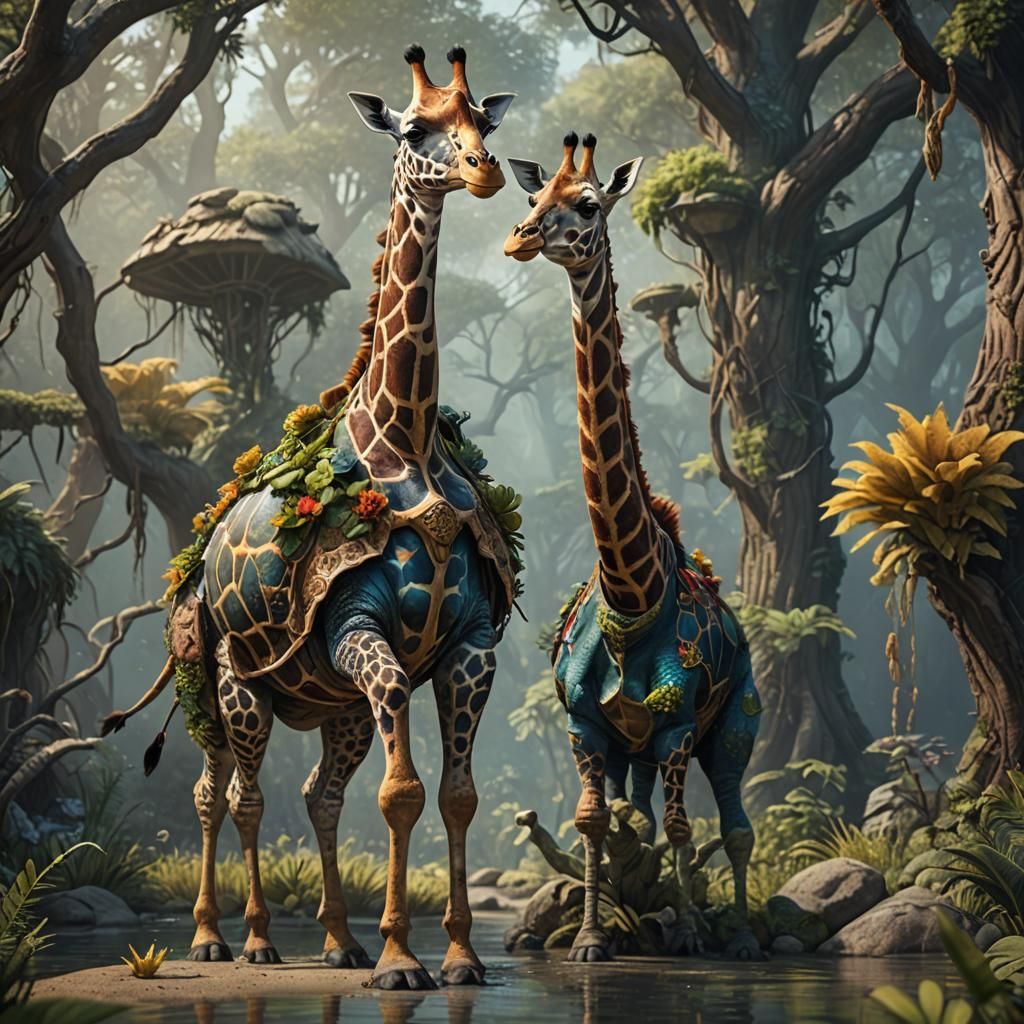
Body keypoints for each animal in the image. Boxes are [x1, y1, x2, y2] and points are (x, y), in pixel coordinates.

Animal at [112, 44, 518, 991]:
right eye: (414, 129)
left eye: (484, 119)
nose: (483, 170)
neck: (403, 443)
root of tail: (193, 559)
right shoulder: (360, 631)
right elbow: (402, 793)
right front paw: (404, 959)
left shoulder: (467, 644)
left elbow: (455, 794)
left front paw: (455, 956)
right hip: (224, 678)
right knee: (226, 792)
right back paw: (232, 938)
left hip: (327, 703)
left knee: (315, 795)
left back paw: (337, 940)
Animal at [503, 132, 763, 962]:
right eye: (532, 198)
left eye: (587, 205)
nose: (521, 238)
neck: (631, 592)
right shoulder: (590, 726)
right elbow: (595, 821)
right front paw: (592, 938)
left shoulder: (679, 727)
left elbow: (685, 828)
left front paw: (693, 935)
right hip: (632, 751)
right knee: (638, 814)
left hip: (733, 725)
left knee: (736, 826)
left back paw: (739, 936)